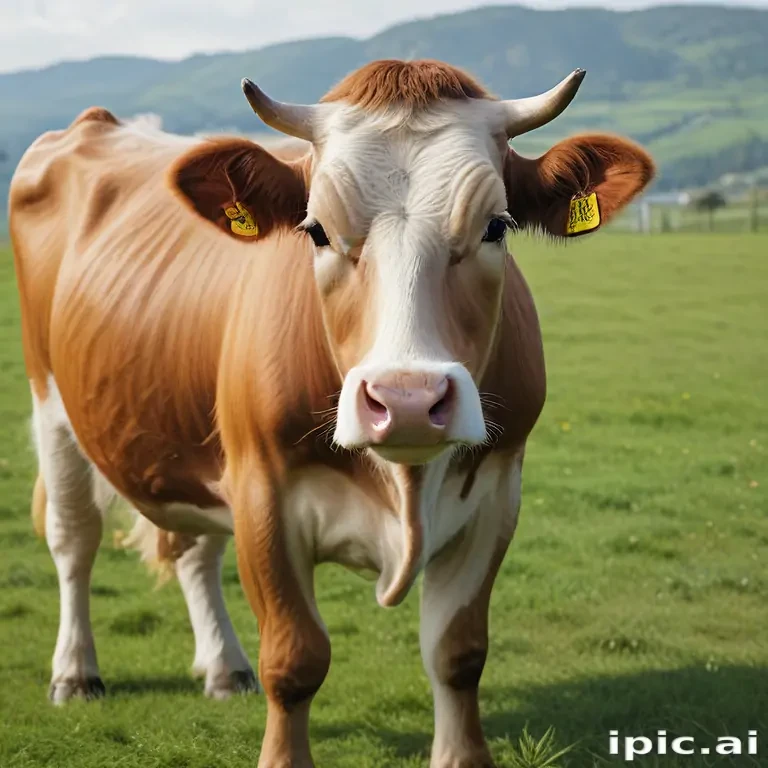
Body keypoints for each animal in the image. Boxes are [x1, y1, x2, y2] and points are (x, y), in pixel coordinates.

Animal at [10, 59, 654, 767]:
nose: (406, 400)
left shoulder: (496, 491)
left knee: (194, 551)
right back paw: (75, 672)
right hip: (53, 408)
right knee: (74, 540)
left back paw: (223, 666)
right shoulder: (261, 490)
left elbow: (457, 654)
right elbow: (294, 661)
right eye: (316, 229)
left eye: (497, 226)